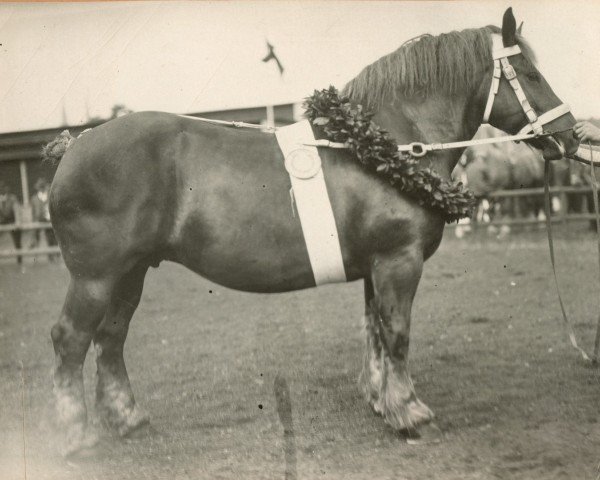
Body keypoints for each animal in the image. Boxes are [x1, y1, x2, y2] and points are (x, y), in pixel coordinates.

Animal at [44, 9, 580, 456]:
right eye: (531, 74)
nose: (571, 135)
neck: (386, 146)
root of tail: (77, 145)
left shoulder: (375, 267)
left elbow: (375, 330)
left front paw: (382, 402)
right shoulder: (398, 261)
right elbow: (398, 332)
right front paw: (411, 413)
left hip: (131, 272)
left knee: (110, 338)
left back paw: (127, 419)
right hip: (96, 276)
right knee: (71, 338)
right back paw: (75, 436)